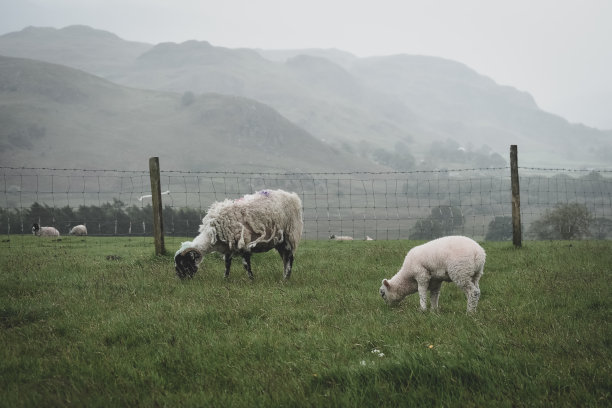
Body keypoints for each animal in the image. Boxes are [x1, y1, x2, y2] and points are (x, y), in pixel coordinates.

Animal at [175, 189, 304, 280]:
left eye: (184, 263)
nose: (181, 280)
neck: (212, 236)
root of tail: (293, 197)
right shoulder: (228, 247)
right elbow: (227, 264)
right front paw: (225, 279)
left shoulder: (244, 243)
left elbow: (246, 264)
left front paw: (251, 280)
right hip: (279, 241)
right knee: (285, 258)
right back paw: (284, 276)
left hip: (289, 235)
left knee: (290, 258)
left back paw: (286, 278)